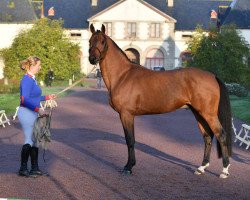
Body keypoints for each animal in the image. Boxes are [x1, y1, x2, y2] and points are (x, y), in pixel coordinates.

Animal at [88, 24, 232, 179]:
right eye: (90, 41)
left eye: (102, 41)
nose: (92, 58)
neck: (122, 75)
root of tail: (212, 76)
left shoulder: (126, 114)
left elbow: (130, 140)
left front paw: (128, 167)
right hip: (198, 113)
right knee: (207, 137)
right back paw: (201, 168)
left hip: (208, 114)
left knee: (221, 135)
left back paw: (224, 170)